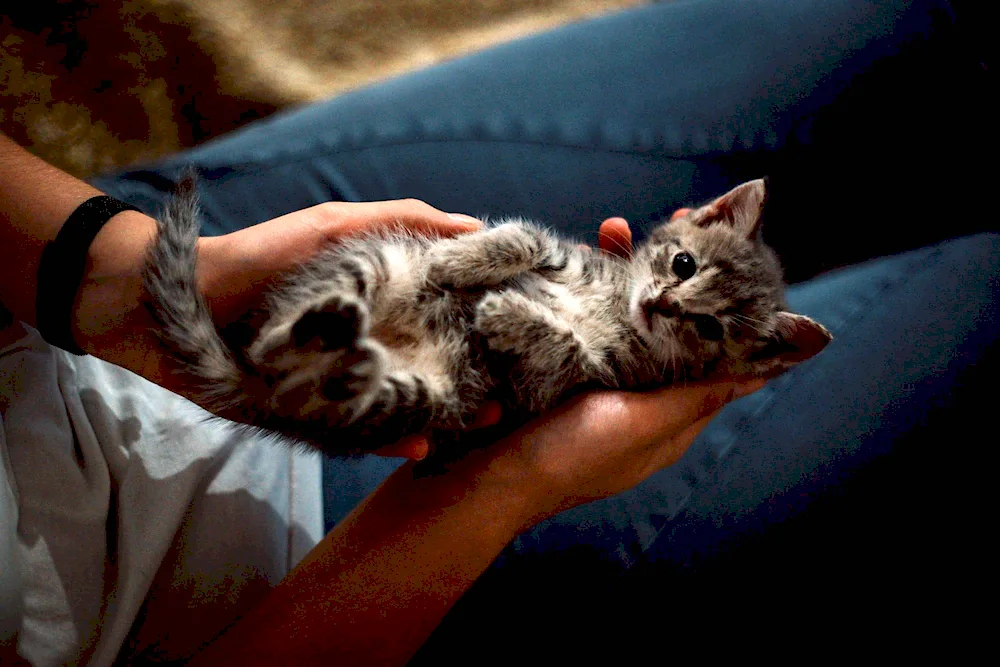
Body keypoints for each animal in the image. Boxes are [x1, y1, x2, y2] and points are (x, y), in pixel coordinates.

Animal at [141, 179, 828, 460]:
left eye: (711, 328)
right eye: (684, 263)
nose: (662, 304)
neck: (616, 306)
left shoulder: (575, 381)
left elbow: (567, 349)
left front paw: (505, 311)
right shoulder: (559, 253)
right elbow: (521, 238)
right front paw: (457, 260)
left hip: (425, 398)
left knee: (301, 376)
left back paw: (340, 351)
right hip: (379, 260)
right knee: (273, 343)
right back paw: (327, 327)